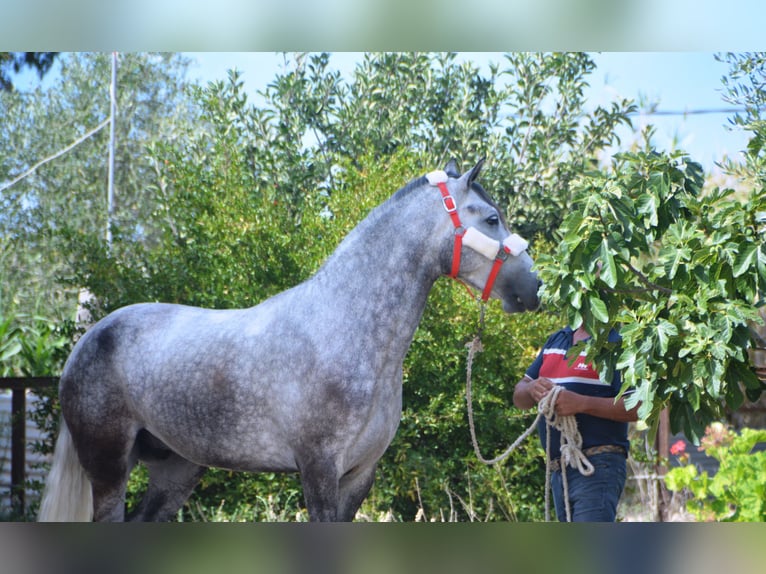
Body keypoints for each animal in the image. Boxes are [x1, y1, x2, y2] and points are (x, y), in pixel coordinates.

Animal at [37, 160, 540, 524]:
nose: (534, 288)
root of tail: (90, 339)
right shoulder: (318, 468)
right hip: (109, 467)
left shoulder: (359, 476)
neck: (344, 328)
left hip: (175, 469)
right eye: (492, 217)